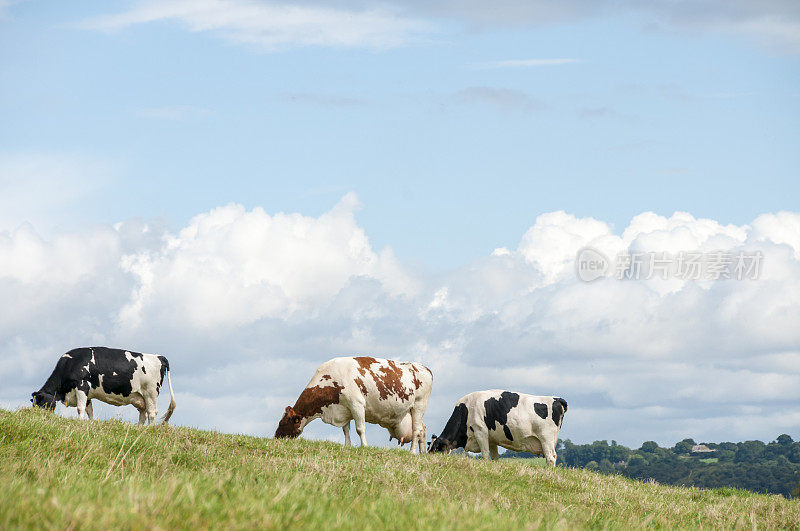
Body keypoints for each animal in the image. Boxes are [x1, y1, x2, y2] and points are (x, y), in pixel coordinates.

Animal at [31, 348, 177, 426]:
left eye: (41, 403)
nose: (37, 418)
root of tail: (158, 356)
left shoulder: (82, 386)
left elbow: (80, 408)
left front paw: (80, 422)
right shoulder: (87, 394)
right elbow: (89, 410)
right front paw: (89, 423)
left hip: (150, 392)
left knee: (152, 413)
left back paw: (148, 429)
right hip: (139, 396)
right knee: (143, 413)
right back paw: (139, 428)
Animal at [278, 358, 434, 454]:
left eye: (283, 422)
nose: (276, 437)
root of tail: (425, 368)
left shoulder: (356, 404)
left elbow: (360, 429)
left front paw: (364, 446)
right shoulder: (344, 409)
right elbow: (346, 430)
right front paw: (347, 446)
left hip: (419, 405)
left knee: (416, 430)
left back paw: (412, 452)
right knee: (423, 429)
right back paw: (422, 453)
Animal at [428, 390, 564, 466]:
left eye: (436, 449)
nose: (427, 459)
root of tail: (557, 399)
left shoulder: (480, 432)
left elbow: (485, 455)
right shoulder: (491, 440)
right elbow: (495, 458)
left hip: (546, 439)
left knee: (551, 458)